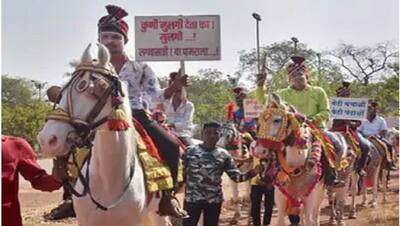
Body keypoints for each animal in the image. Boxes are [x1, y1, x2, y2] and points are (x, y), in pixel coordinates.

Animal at [253, 93, 324, 226]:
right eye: (259, 122)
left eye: (277, 120)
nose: (260, 151)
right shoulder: (280, 196)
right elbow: (282, 220)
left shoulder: (310, 196)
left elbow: (309, 219)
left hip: (320, 191)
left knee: (316, 213)